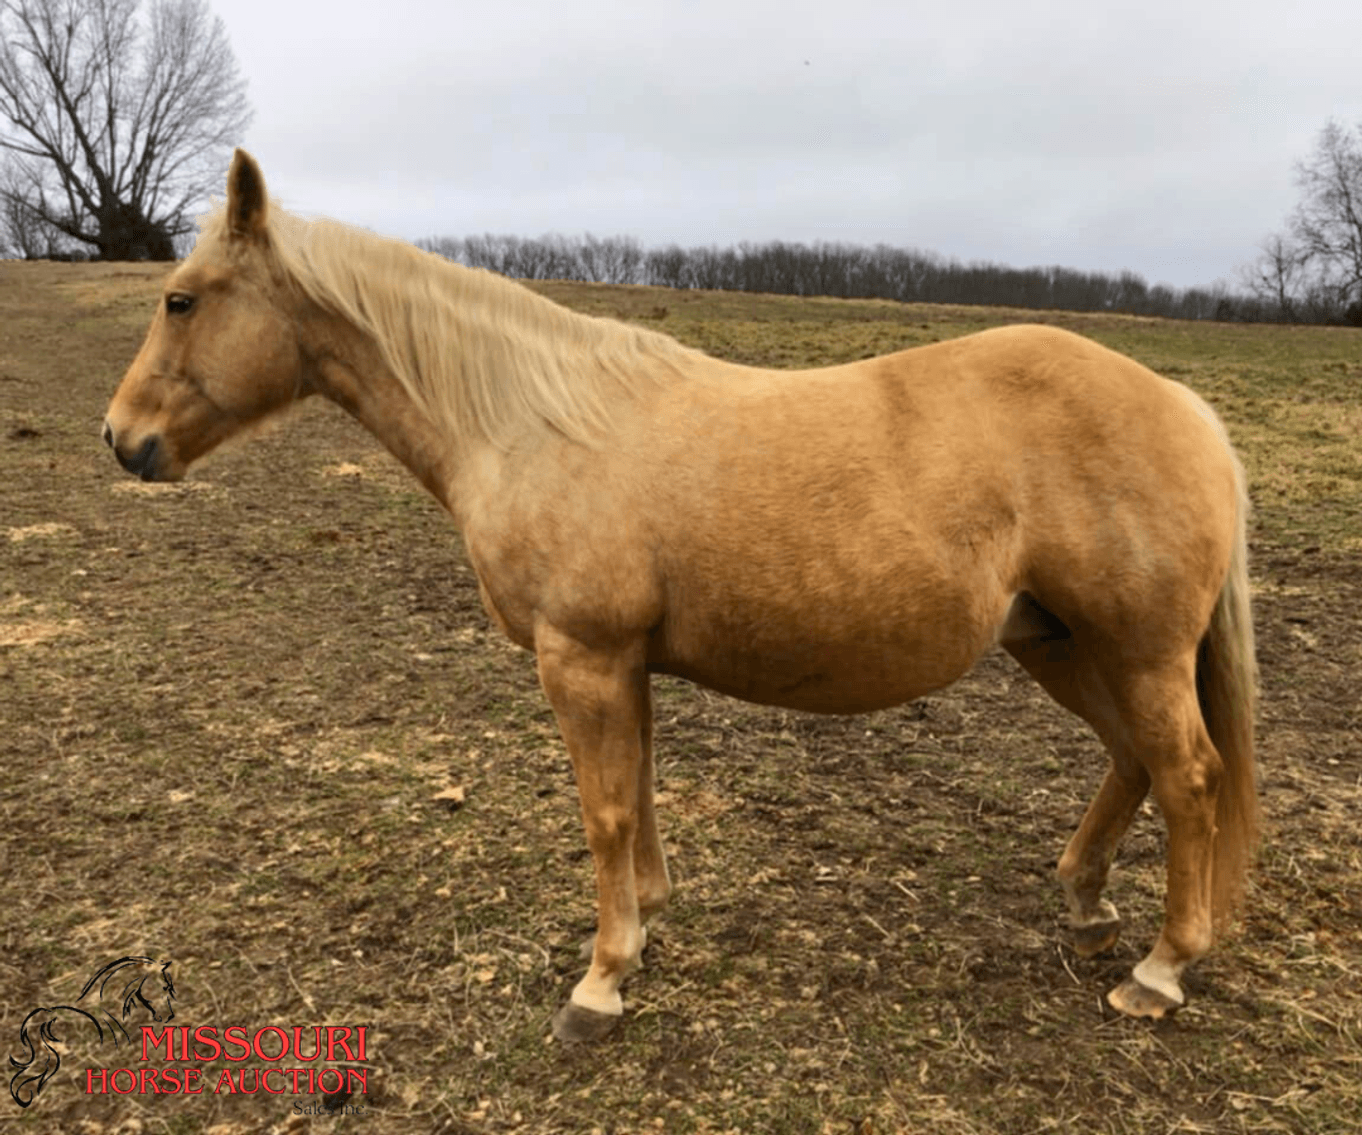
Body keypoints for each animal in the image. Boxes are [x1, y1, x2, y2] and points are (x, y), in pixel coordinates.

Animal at [102, 150, 1257, 1043]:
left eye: (180, 298)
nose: (123, 440)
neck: (532, 425)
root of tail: (1183, 405)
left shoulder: (581, 656)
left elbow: (605, 810)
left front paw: (600, 981)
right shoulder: (623, 663)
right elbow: (642, 792)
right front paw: (647, 924)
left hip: (1135, 650)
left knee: (1189, 776)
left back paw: (1159, 971)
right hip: (1058, 642)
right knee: (1134, 761)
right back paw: (1086, 908)